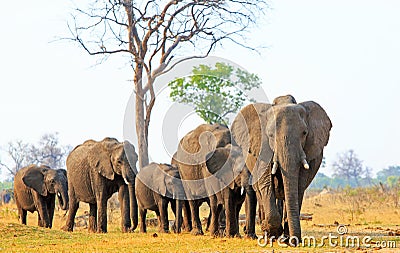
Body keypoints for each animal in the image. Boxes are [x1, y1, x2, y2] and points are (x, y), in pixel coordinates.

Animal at [231, 94, 332, 244]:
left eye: (304, 133)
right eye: (270, 135)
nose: (296, 241)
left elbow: (298, 186)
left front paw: (286, 238)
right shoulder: (262, 147)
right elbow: (266, 183)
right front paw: (270, 231)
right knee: (257, 191)